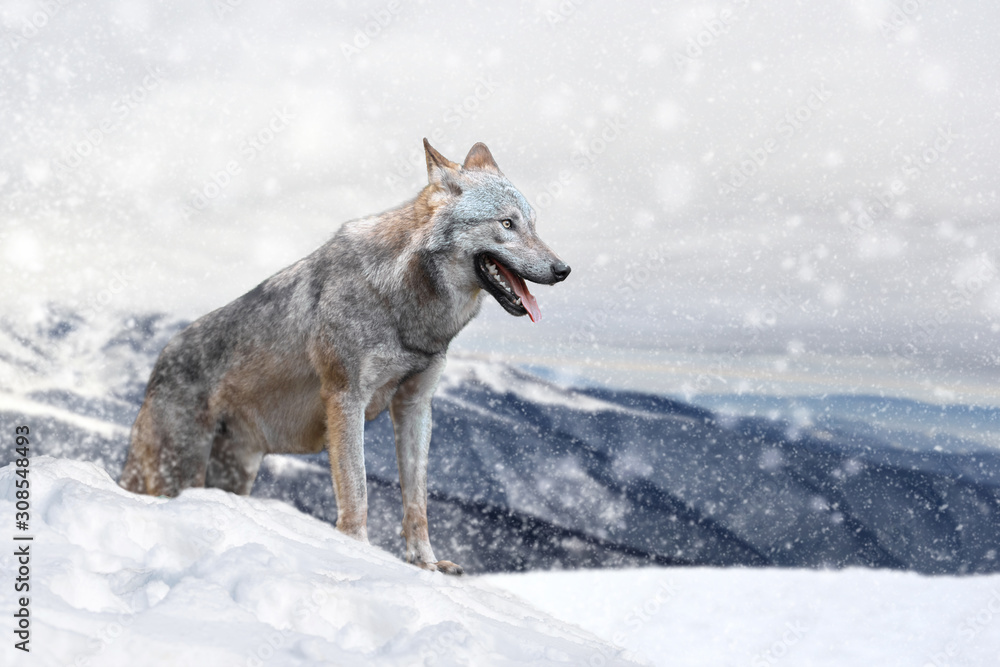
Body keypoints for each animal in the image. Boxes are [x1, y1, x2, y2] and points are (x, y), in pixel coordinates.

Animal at [119, 140, 570, 574]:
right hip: (181, 473)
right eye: (507, 224)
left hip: (233, 475)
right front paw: (357, 554)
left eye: (533, 225)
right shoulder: (345, 398)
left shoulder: (415, 405)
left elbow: (417, 502)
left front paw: (426, 563)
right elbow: (357, 491)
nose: (563, 269)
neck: (403, 304)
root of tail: (157, 366)